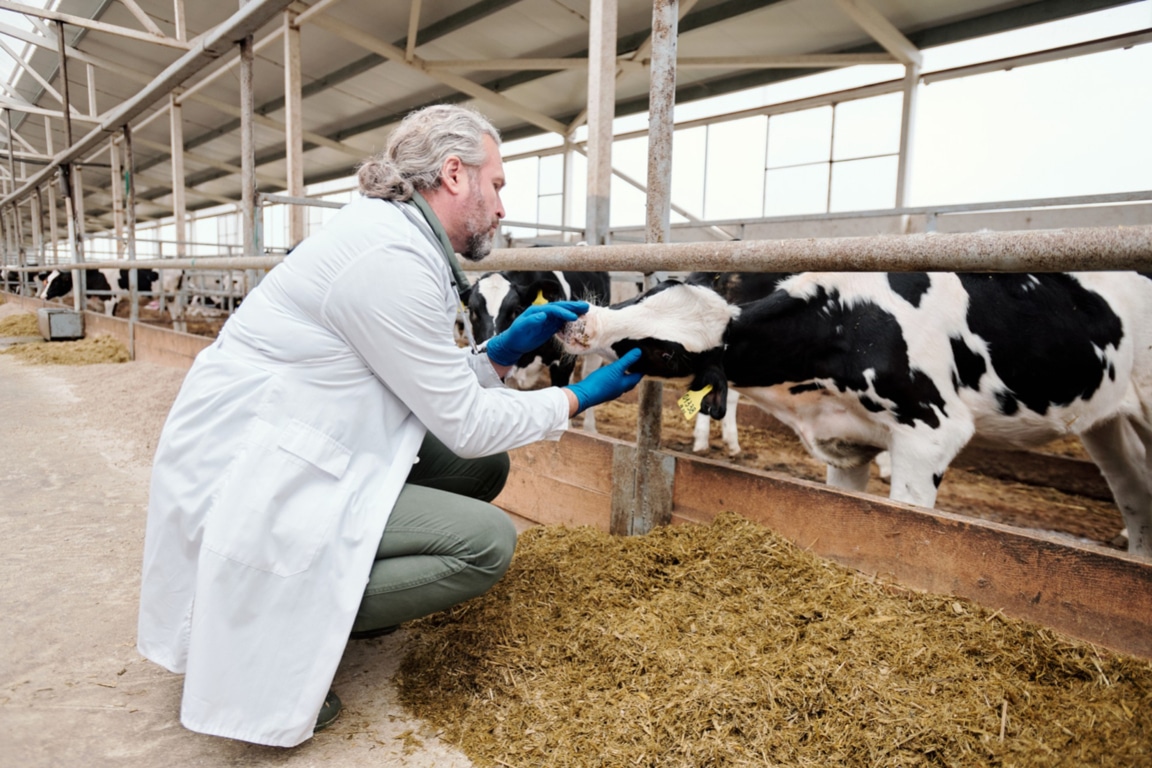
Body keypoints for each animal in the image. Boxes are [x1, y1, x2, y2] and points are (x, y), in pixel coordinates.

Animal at [557, 271, 1152, 559]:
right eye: (647, 292)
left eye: (667, 354)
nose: (578, 326)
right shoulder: (845, 445)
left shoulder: (932, 434)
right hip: (1106, 422)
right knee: (1134, 493)